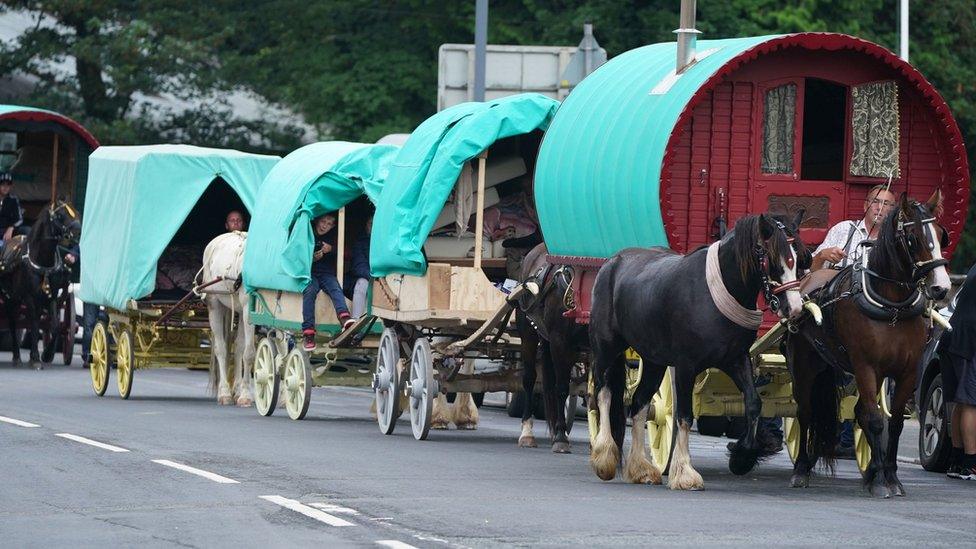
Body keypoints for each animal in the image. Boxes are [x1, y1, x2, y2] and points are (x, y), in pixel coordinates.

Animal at [0, 200, 81, 364]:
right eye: (60, 215)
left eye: (75, 212)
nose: (79, 232)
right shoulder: (29, 296)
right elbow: (34, 324)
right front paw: (35, 358)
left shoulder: (52, 296)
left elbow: (54, 326)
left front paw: (47, 354)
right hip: (10, 298)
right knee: (12, 323)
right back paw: (16, 355)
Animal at [201, 229, 255, 404]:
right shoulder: (249, 310)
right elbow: (249, 354)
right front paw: (246, 396)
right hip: (215, 305)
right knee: (221, 348)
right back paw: (224, 392)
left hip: (239, 310)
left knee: (238, 348)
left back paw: (237, 390)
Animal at [510, 242, 588, 452]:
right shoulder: (560, 342)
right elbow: (561, 388)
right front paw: (561, 436)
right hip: (527, 331)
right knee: (529, 379)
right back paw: (527, 432)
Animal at [588, 213, 808, 488]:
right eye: (771, 257)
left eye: (801, 259)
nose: (795, 308)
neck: (713, 293)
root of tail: (612, 262)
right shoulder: (685, 365)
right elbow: (684, 415)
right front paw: (685, 473)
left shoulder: (736, 359)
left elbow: (753, 403)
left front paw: (742, 456)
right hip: (606, 348)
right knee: (603, 393)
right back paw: (605, 456)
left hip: (653, 359)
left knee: (639, 404)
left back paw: (641, 469)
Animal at [784, 193, 952, 496]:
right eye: (913, 238)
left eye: (941, 234)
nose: (941, 288)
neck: (891, 307)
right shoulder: (865, 366)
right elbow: (874, 419)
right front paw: (881, 481)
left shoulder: (907, 372)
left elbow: (891, 422)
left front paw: (888, 475)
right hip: (803, 366)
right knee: (805, 412)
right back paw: (801, 468)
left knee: (858, 413)